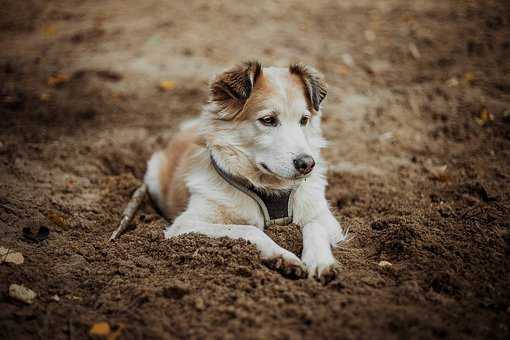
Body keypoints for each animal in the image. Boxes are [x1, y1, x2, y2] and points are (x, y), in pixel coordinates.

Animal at [145, 61, 348, 282]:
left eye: (304, 119)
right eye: (268, 120)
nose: (307, 164)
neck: (271, 187)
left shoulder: (325, 217)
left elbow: (314, 226)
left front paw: (320, 261)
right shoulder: (185, 224)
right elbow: (249, 228)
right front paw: (281, 255)